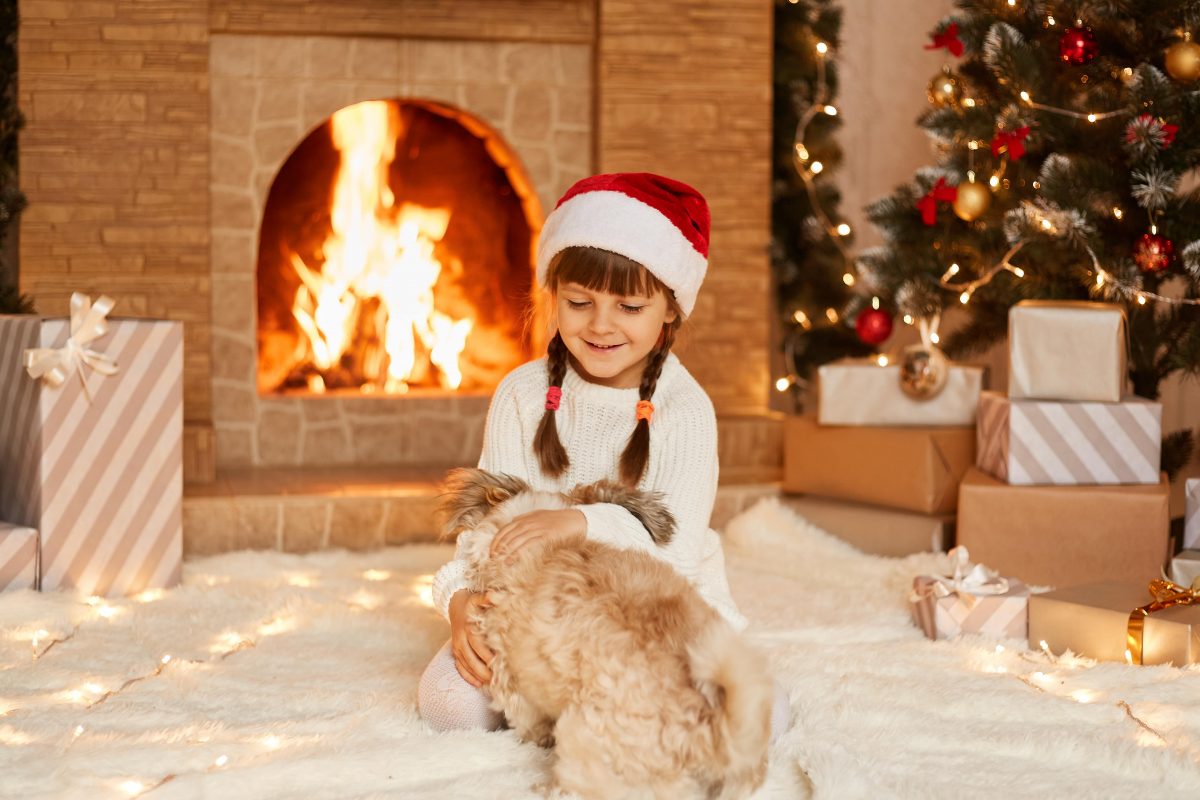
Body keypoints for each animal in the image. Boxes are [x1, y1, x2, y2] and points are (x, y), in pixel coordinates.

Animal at [439, 470, 768, 800]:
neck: (544, 550)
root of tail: (712, 725)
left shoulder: (512, 674)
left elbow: (527, 716)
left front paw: (535, 737)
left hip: (583, 737)